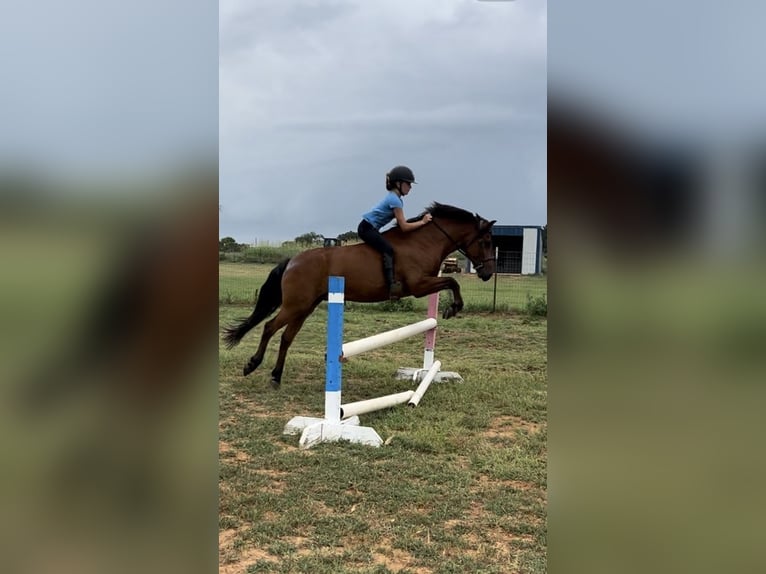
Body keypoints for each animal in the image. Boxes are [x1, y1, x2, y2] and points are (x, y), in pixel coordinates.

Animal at [222, 202, 497, 387]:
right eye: (485, 241)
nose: (488, 273)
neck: (423, 242)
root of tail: (293, 260)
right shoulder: (419, 286)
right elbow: (452, 281)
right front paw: (453, 308)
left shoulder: (424, 284)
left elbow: (451, 281)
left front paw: (452, 308)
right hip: (295, 305)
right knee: (270, 327)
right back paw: (252, 365)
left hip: (305, 307)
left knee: (286, 337)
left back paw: (276, 377)